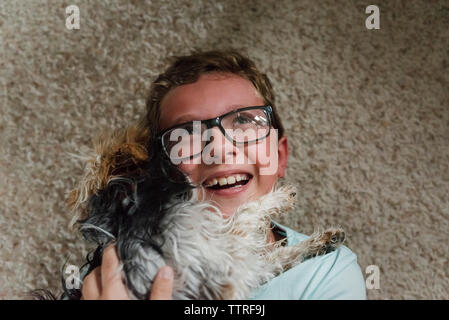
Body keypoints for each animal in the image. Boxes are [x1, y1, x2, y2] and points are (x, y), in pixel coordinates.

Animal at [62, 123, 344, 300]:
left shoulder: (234, 268)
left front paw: (322, 241)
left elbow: (276, 258)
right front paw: (281, 198)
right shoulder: (225, 265)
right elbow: (245, 214)